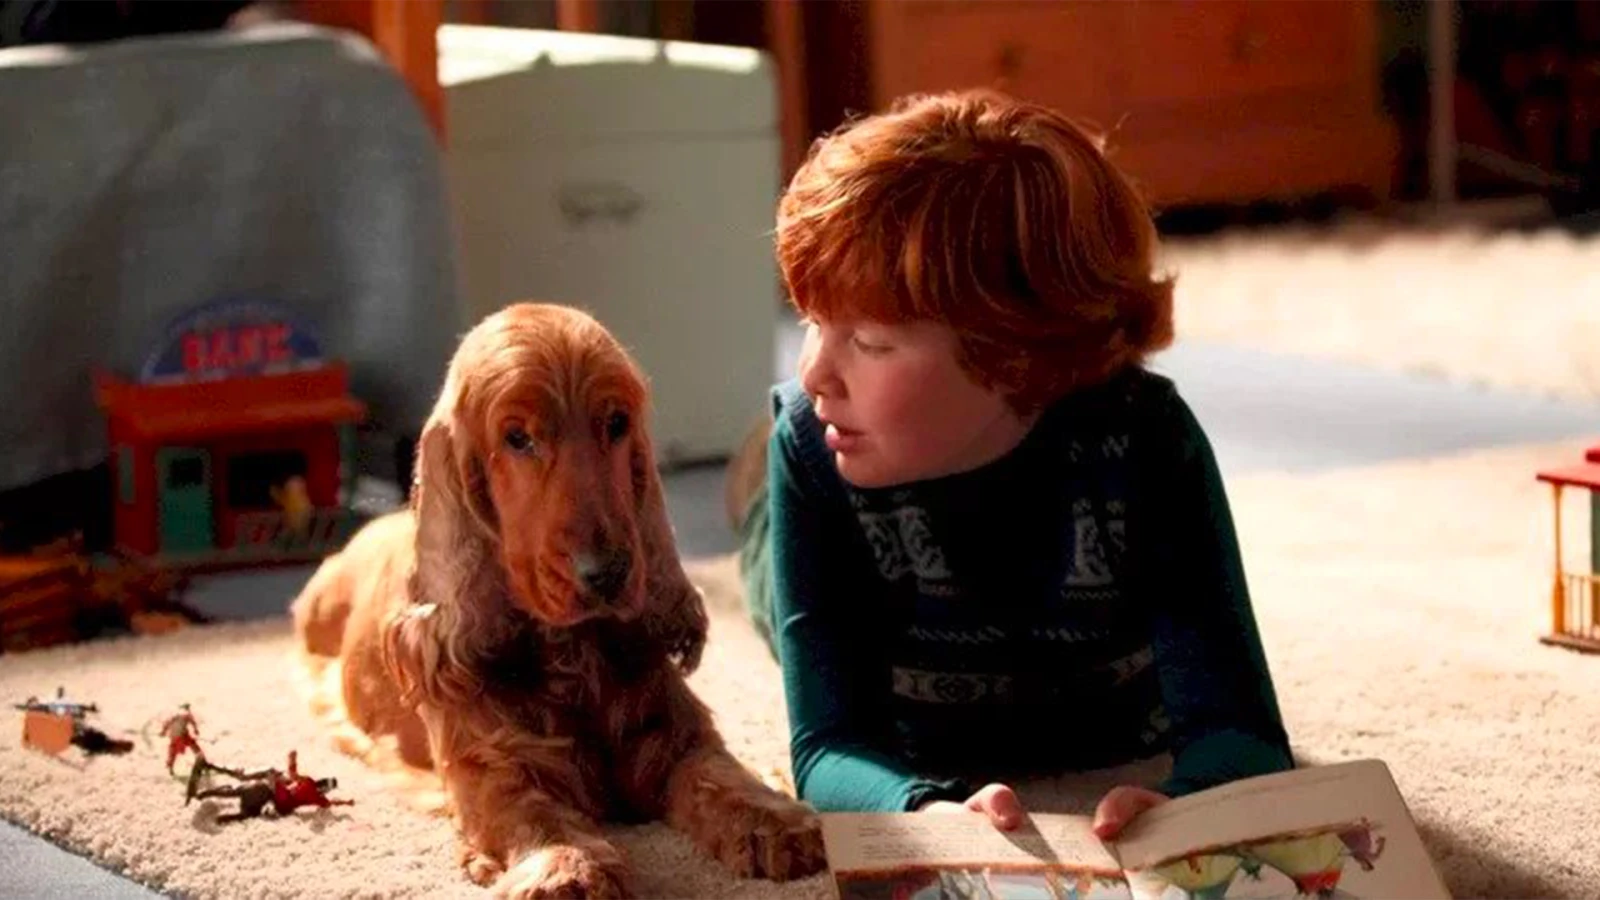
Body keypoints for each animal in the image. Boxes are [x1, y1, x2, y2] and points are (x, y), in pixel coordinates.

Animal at [291, 303, 824, 898]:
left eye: (616, 423)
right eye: (517, 438)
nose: (608, 573)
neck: (570, 653)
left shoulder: (674, 735)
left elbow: (719, 771)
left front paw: (776, 819)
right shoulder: (491, 764)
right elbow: (530, 811)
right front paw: (567, 866)